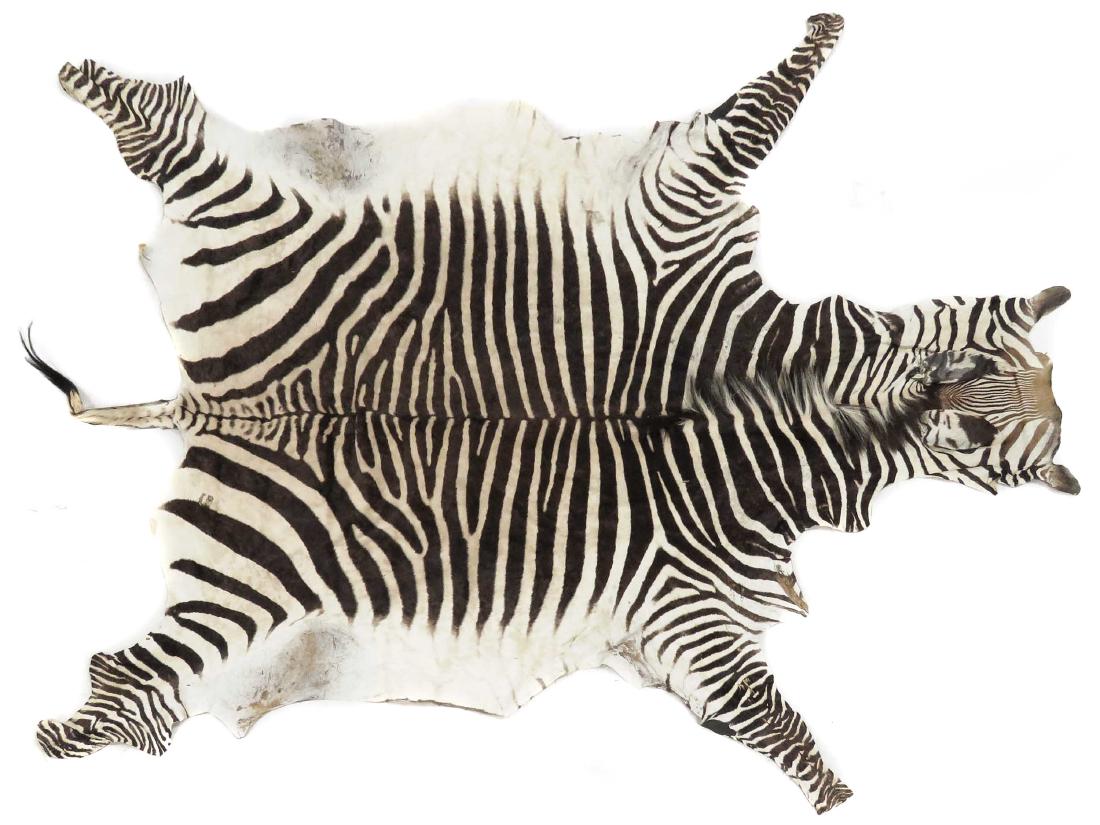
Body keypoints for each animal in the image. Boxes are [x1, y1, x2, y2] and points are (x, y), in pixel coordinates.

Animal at [26, 13, 1078, 814]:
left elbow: (763, 713)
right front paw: (821, 37)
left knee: (143, 680)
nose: (943, 398)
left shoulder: (687, 611)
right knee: (175, 130)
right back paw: (88, 78)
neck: (783, 398)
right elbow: (755, 118)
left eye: (984, 415)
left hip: (249, 597)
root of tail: (216, 402)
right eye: (974, 389)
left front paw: (831, 789)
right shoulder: (683, 209)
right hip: (267, 226)